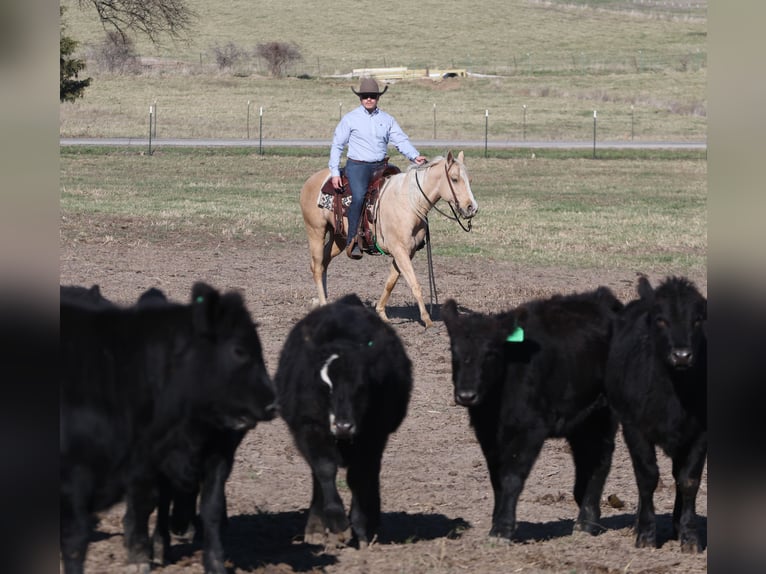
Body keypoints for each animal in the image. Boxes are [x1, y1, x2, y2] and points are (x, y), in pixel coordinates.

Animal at [60, 284, 276, 574]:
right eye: (239, 351)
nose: (272, 403)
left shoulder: (218, 457)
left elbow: (211, 507)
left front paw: (214, 562)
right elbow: (150, 501)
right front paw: (146, 552)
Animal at [276, 296, 414, 548]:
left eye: (361, 387)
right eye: (325, 387)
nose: (343, 426)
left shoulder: (373, 434)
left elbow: (359, 477)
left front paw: (360, 527)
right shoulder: (309, 428)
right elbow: (324, 470)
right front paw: (337, 523)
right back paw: (316, 527)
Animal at [300, 151, 480, 328]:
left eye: (470, 180)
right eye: (454, 179)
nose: (472, 208)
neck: (409, 203)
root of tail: (311, 180)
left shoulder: (407, 252)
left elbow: (390, 283)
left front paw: (381, 313)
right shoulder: (400, 251)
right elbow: (415, 284)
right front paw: (427, 320)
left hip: (340, 239)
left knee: (324, 262)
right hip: (316, 231)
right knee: (317, 266)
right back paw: (323, 304)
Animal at [444, 290, 624, 544]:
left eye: (491, 353)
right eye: (454, 351)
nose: (466, 395)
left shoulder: (530, 430)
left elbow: (511, 476)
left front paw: (502, 529)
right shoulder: (487, 434)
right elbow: (496, 478)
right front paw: (497, 520)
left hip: (604, 413)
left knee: (600, 458)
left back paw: (587, 522)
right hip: (582, 419)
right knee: (585, 457)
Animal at [608, 276, 708, 556]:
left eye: (698, 319)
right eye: (661, 320)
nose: (682, 355)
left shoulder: (700, 432)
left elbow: (688, 480)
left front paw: (690, 536)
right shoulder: (634, 428)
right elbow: (647, 477)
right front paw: (645, 533)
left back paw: (676, 524)